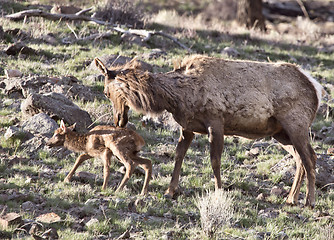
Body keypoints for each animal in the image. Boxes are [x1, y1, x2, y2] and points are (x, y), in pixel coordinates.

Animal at [94, 55, 324, 207]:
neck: (176, 97)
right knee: (300, 158)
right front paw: (170, 191)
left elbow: (215, 160)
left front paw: (219, 190)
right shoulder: (187, 127)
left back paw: (309, 201)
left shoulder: (216, 121)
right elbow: (178, 155)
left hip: (297, 124)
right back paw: (291, 198)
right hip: (280, 132)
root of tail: (316, 89)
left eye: (106, 92)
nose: (119, 120)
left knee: (310, 158)